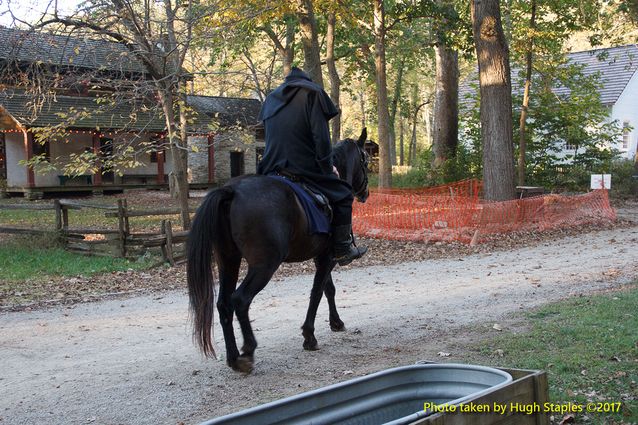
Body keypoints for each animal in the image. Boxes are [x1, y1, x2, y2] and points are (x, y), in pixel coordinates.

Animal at [186, 128, 370, 372]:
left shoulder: (320, 256)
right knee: (240, 300)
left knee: (224, 304)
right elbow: (317, 292)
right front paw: (309, 336)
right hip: (264, 265)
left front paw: (335, 322)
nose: (365, 193)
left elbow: (327, 289)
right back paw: (248, 350)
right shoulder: (327, 257)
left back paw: (233, 357)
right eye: (365, 160)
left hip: (229, 261)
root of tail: (230, 190)